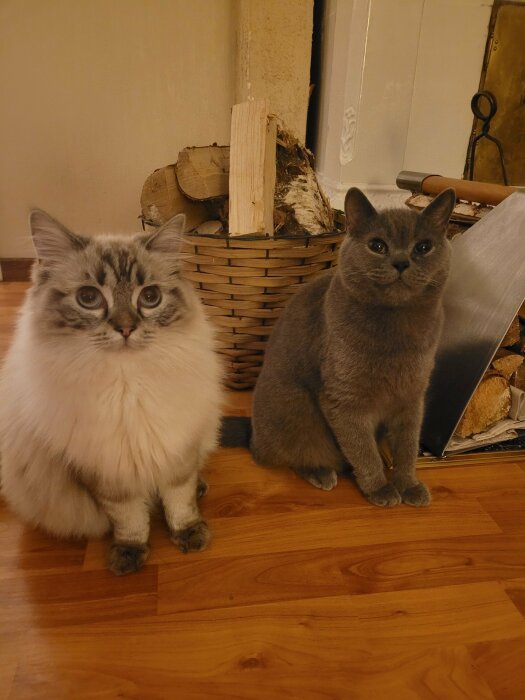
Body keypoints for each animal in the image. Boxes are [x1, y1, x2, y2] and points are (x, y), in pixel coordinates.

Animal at [0, 212, 221, 576]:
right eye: (89, 298)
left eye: (150, 297)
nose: (126, 328)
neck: (127, 387)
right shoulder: (107, 471)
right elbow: (129, 519)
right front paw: (129, 555)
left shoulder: (178, 450)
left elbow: (180, 500)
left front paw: (189, 534)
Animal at [251, 189, 454, 506]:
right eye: (377, 245)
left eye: (423, 247)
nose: (401, 262)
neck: (396, 332)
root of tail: (252, 440)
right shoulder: (344, 400)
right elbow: (363, 449)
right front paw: (380, 489)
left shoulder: (412, 397)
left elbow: (407, 447)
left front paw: (408, 486)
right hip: (297, 408)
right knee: (294, 454)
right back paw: (323, 474)